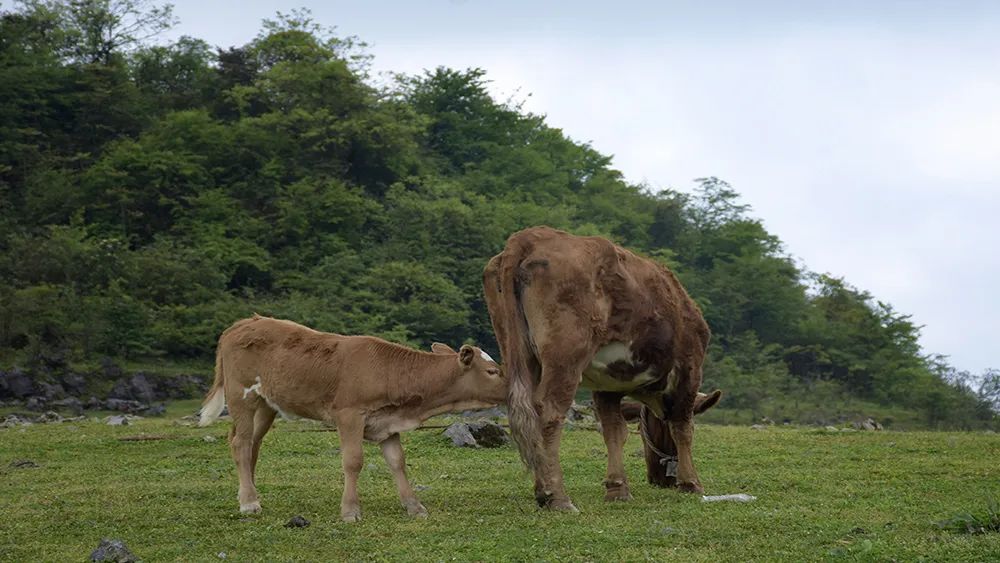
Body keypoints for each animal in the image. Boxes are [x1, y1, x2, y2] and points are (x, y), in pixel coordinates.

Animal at [197, 316, 508, 524]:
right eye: (492, 371)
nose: (512, 386)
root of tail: (241, 324)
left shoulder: (387, 423)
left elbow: (398, 462)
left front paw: (414, 506)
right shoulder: (349, 415)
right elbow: (353, 461)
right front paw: (350, 510)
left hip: (266, 404)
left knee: (251, 444)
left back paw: (249, 494)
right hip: (242, 396)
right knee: (240, 443)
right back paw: (249, 503)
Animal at [482, 227, 720, 512]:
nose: (658, 480)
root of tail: (531, 236)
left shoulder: (607, 384)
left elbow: (614, 431)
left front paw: (617, 489)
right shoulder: (689, 369)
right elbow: (683, 427)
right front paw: (690, 483)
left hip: (516, 349)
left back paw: (542, 490)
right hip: (566, 356)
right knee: (548, 412)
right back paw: (556, 496)